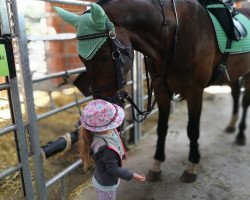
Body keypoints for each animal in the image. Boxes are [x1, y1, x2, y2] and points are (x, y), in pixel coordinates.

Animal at [54, 0, 250, 183]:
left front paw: (192, 166)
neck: (175, 34)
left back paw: (240, 134)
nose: (102, 107)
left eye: (106, 56)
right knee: (235, 95)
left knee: (245, 102)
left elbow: (193, 129)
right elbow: (162, 128)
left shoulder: (195, 92)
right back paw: (231, 125)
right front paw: (156, 165)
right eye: (82, 59)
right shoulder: (161, 91)